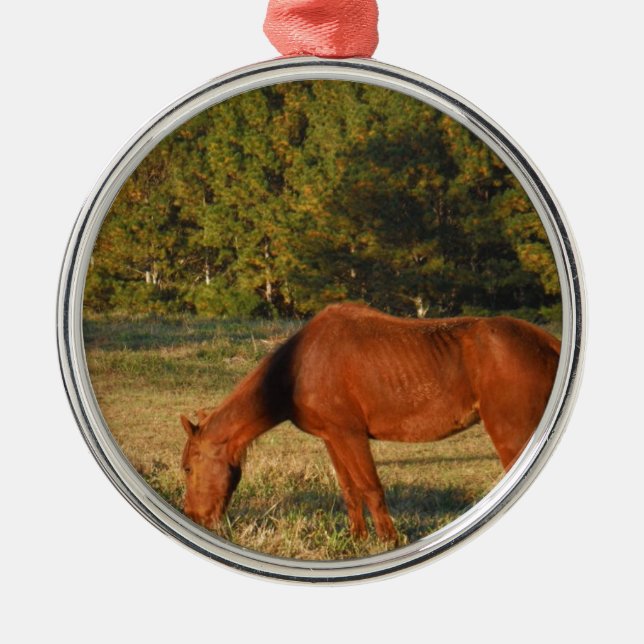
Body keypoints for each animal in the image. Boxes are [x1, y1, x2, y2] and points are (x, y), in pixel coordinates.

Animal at [180, 303, 560, 542]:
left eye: (187, 467)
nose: (194, 517)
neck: (300, 367)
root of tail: (546, 342)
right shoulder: (332, 438)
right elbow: (350, 491)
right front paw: (356, 539)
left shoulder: (351, 435)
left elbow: (371, 488)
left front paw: (389, 541)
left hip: (511, 433)